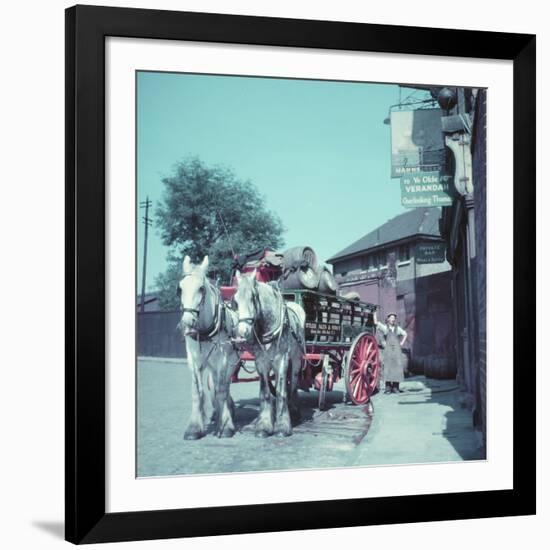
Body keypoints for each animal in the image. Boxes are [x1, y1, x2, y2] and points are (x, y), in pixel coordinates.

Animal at [179, 256, 239, 442]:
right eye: (180, 288)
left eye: (201, 288)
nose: (187, 322)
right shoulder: (193, 359)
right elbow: (197, 391)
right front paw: (194, 428)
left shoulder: (223, 359)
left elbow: (221, 390)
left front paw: (225, 426)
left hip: (232, 361)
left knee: (224, 385)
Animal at [233, 272, 306, 440]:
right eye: (235, 300)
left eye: (253, 297)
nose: (242, 333)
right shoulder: (261, 362)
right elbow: (266, 392)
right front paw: (264, 426)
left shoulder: (282, 359)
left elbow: (281, 392)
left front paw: (283, 426)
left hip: (296, 360)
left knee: (293, 383)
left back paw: (294, 411)